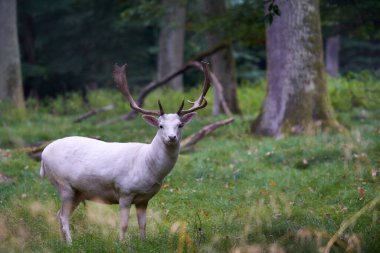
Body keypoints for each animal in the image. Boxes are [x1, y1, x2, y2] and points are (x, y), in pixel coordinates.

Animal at [40, 61, 212, 243]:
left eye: (180, 125)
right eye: (160, 126)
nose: (171, 137)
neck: (147, 166)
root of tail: (43, 154)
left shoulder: (144, 199)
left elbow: (143, 224)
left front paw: (143, 242)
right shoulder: (124, 191)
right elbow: (123, 224)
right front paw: (121, 243)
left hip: (78, 191)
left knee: (58, 214)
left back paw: (62, 241)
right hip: (63, 184)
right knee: (63, 216)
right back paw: (70, 243)